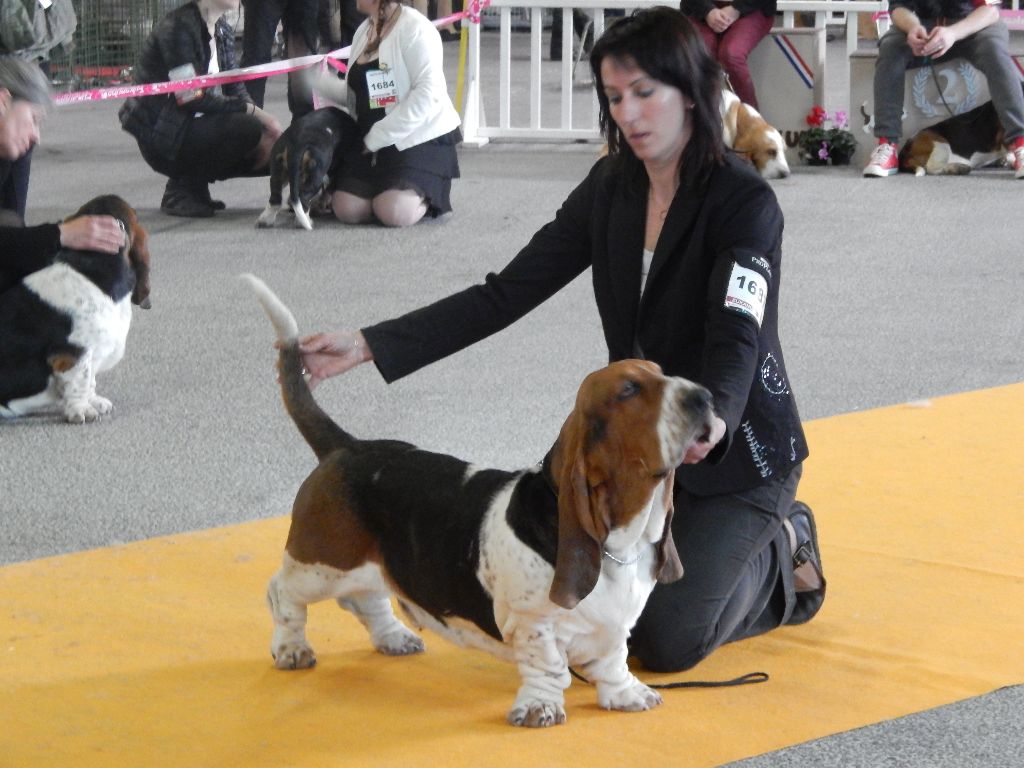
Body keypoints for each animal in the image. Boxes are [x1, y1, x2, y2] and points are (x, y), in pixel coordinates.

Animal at [0, 192, 150, 421]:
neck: (93, 270)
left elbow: (91, 381)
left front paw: (96, 402)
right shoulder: (72, 354)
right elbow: (80, 381)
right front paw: (81, 410)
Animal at [242, 274, 716, 729]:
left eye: (661, 372)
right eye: (629, 389)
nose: (706, 397)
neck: (623, 541)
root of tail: (347, 446)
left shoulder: (617, 624)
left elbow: (614, 660)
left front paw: (626, 694)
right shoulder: (532, 623)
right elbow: (547, 667)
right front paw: (540, 709)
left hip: (368, 562)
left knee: (367, 596)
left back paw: (393, 636)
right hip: (321, 564)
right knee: (281, 592)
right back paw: (291, 647)